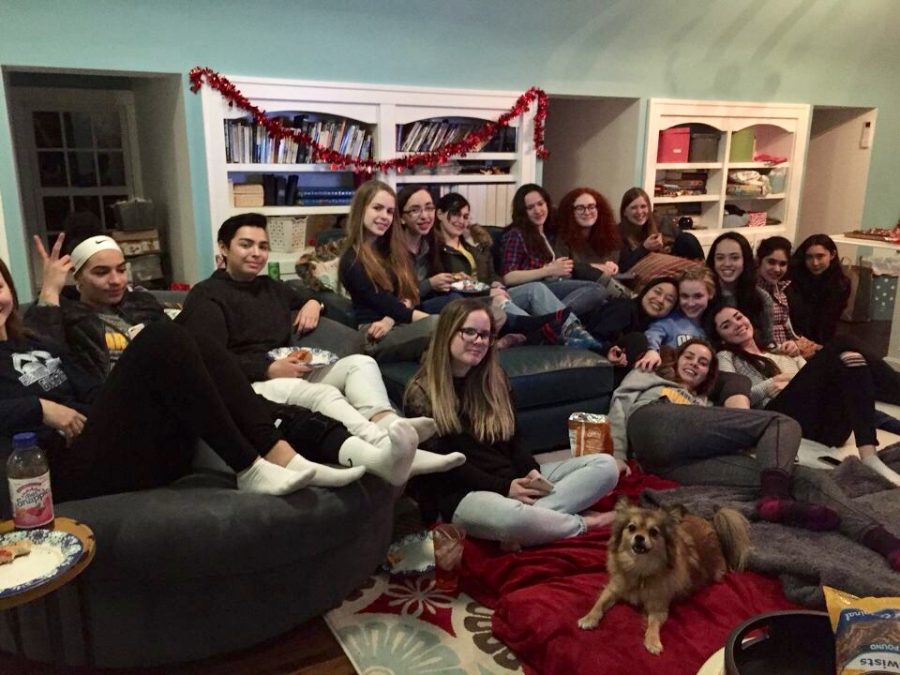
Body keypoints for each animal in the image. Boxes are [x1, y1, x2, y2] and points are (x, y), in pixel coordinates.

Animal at [580, 496, 748, 656]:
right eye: (632, 528)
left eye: (653, 532)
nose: (639, 537)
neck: (640, 568)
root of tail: (711, 523)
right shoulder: (612, 589)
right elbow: (599, 603)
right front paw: (588, 618)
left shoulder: (658, 606)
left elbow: (653, 623)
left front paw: (653, 641)